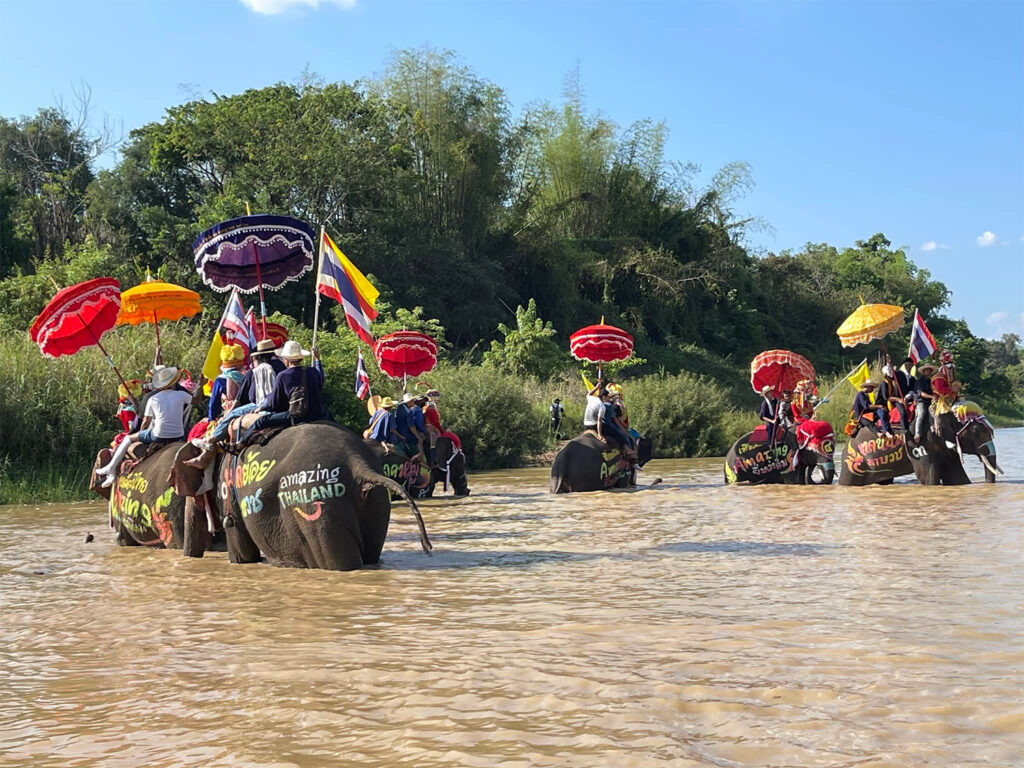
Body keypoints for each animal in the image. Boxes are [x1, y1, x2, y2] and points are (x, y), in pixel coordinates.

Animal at [165, 421, 430, 573]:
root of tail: (359, 464)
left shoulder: (228, 488)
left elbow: (242, 554)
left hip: (317, 504)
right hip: (377, 503)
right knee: (372, 551)